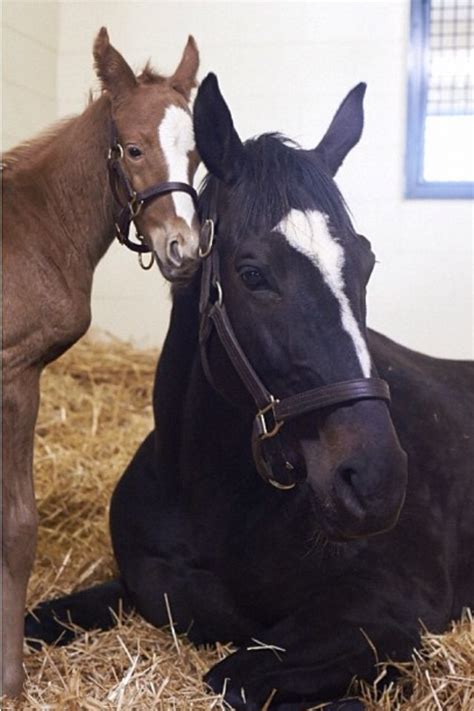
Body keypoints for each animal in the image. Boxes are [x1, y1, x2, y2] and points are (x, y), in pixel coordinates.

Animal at [0, 27, 200, 696]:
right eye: (133, 149)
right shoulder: (16, 376)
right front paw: (10, 679)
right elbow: (18, 526)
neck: (35, 226)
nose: (184, 251)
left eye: (196, 157)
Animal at [26, 73, 474, 711]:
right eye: (252, 274)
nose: (376, 481)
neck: (204, 497)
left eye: (366, 263)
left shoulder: (391, 608)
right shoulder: (135, 584)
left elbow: (232, 679)